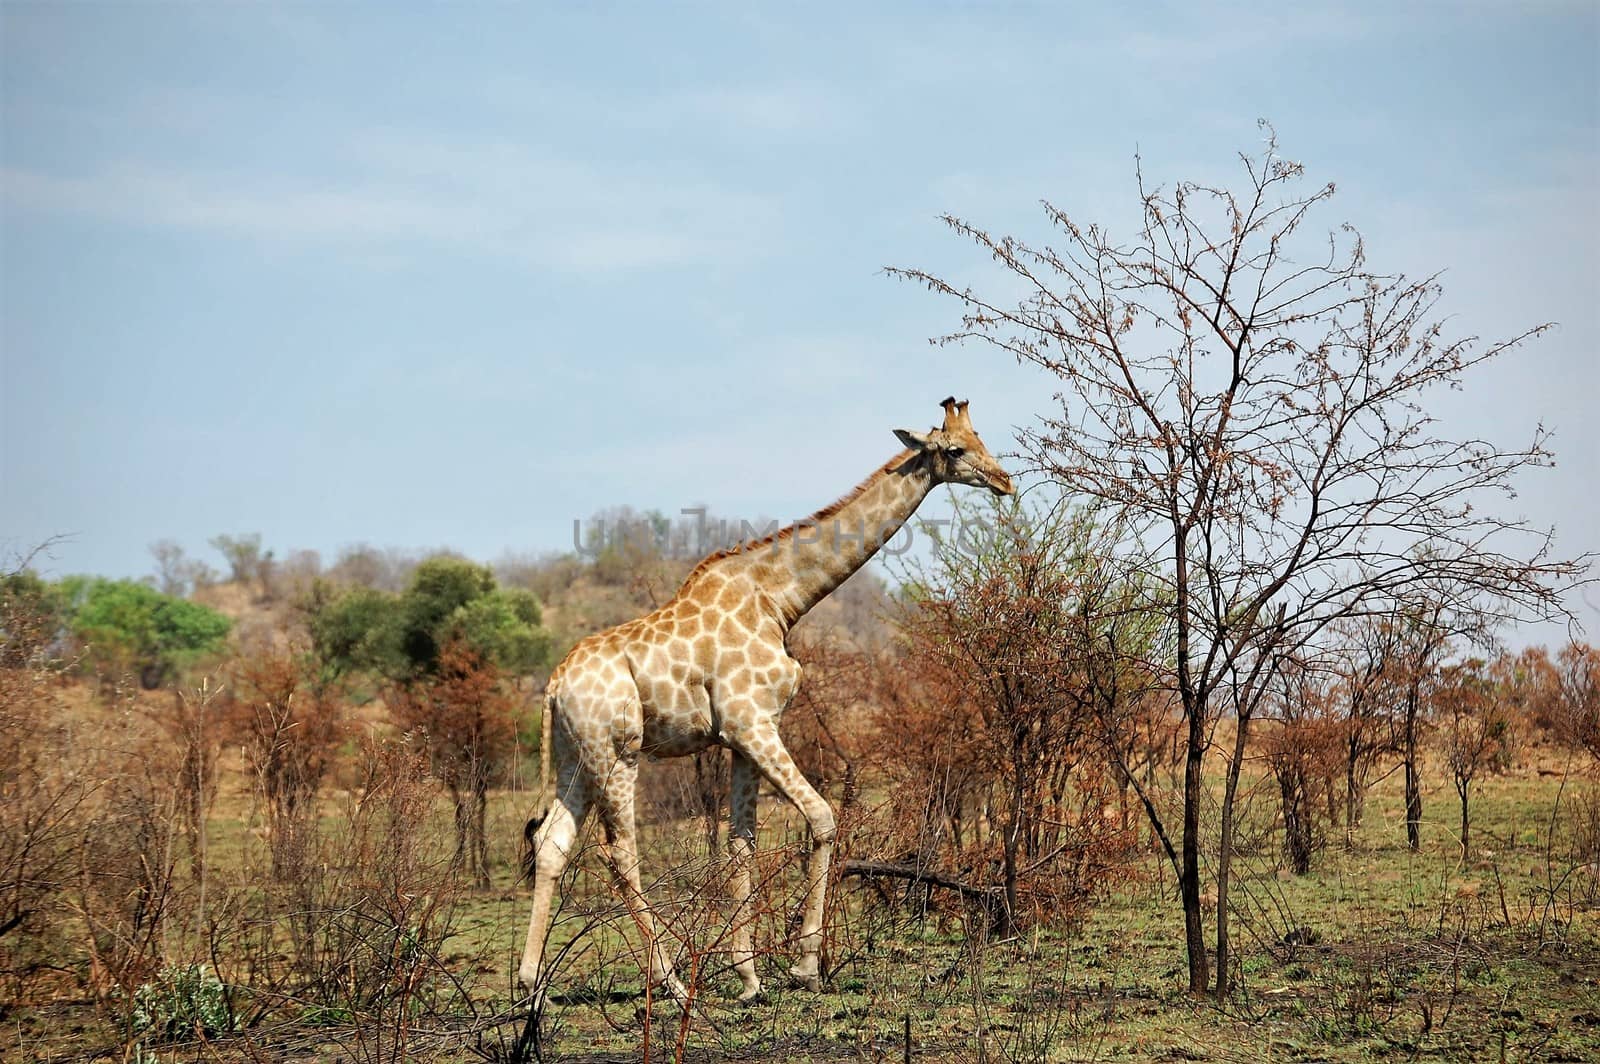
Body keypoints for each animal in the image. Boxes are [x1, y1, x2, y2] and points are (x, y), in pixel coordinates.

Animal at [515, 393, 1011, 998]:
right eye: (955, 449)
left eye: (982, 437)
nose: (1005, 480)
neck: (781, 599)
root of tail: (554, 685)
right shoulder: (751, 723)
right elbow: (822, 818)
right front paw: (805, 966)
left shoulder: (741, 738)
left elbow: (741, 843)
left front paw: (750, 977)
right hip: (619, 753)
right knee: (620, 853)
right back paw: (672, 983)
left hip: (576, 755)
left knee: (552, 843)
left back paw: (531, 981)